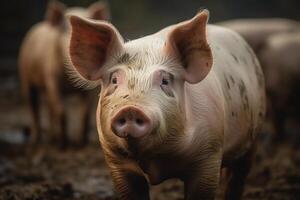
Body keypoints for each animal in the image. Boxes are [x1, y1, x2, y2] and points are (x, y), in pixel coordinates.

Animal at [18, 0, 110, 147]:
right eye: (65, 29)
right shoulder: (51, 78)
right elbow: (61, 110)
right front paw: (64, 146)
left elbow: (85, 113)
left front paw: (81, 144)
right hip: (26, 77)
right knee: (34, 107)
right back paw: (36, 142)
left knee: (50, 109)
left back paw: (52, 139)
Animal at [67, 8, 266, 199]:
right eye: (114, 80)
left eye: (165, 80)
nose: (130, 109)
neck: (156, 160)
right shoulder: (116, 161)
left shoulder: (209, 155)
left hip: (254, 135)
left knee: (237, 179)